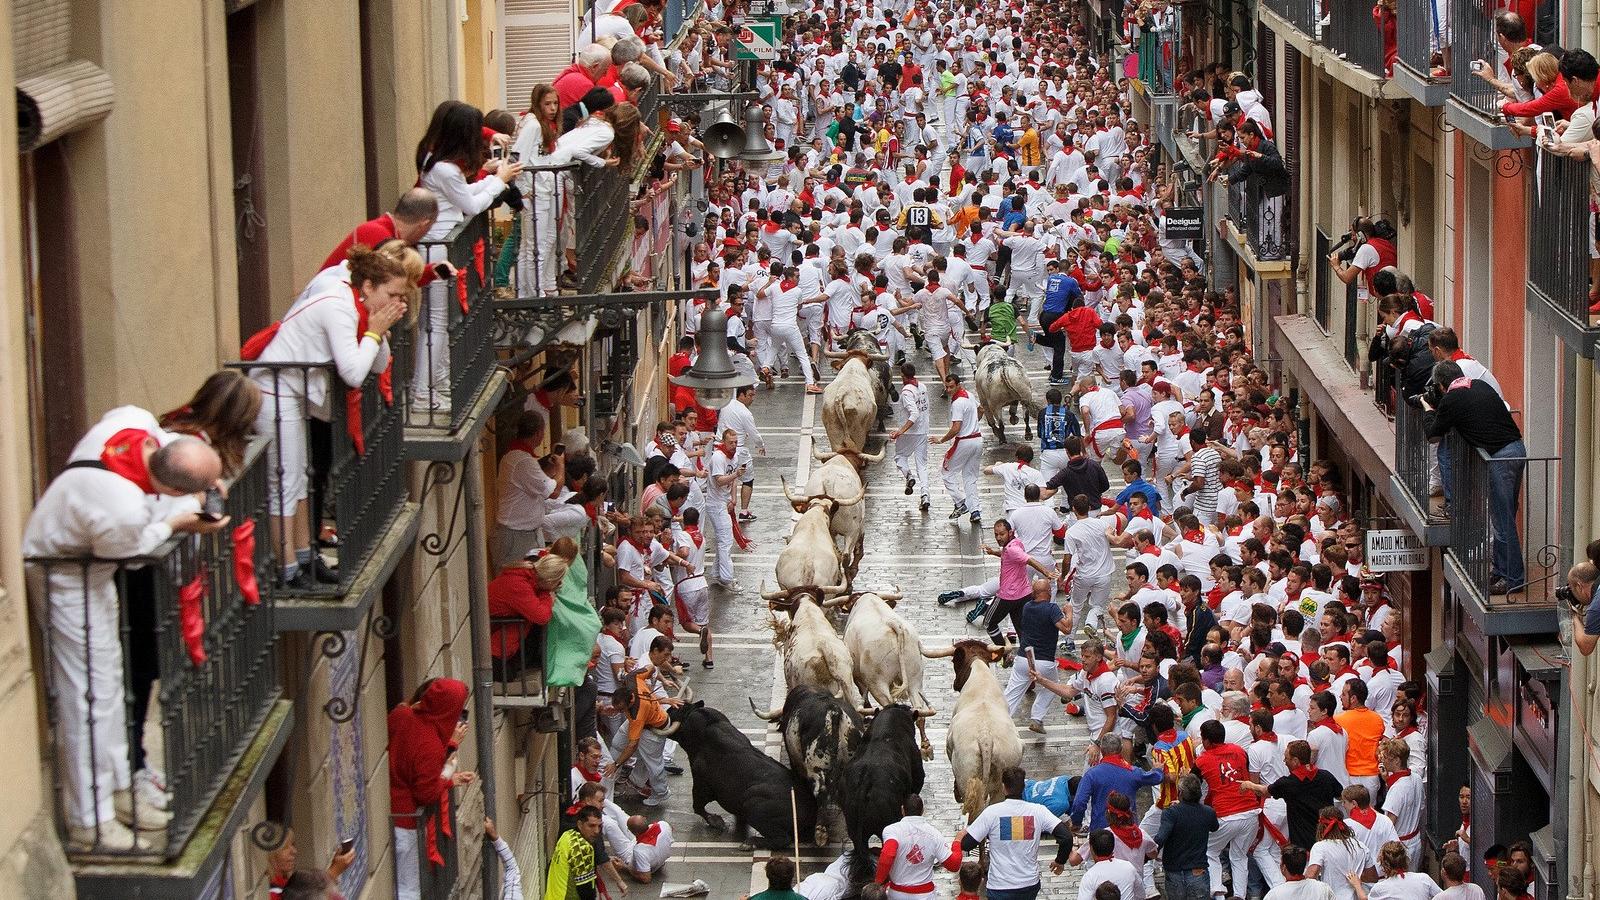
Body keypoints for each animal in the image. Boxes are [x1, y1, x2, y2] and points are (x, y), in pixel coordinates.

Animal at [659, 701, 819, 845]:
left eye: (673, 711)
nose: (663, 717)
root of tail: (812, 812)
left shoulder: (701, 784)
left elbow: (697, 806)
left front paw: (717, 822)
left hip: (752, 806)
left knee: (783, 840)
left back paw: (750, 842)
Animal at [838, 589, 934, 755]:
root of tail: (893, 625)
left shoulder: (859, 678)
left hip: (877, 683)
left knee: (889, 704)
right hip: (914, 679)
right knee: (919, 709)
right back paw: (925, 746)